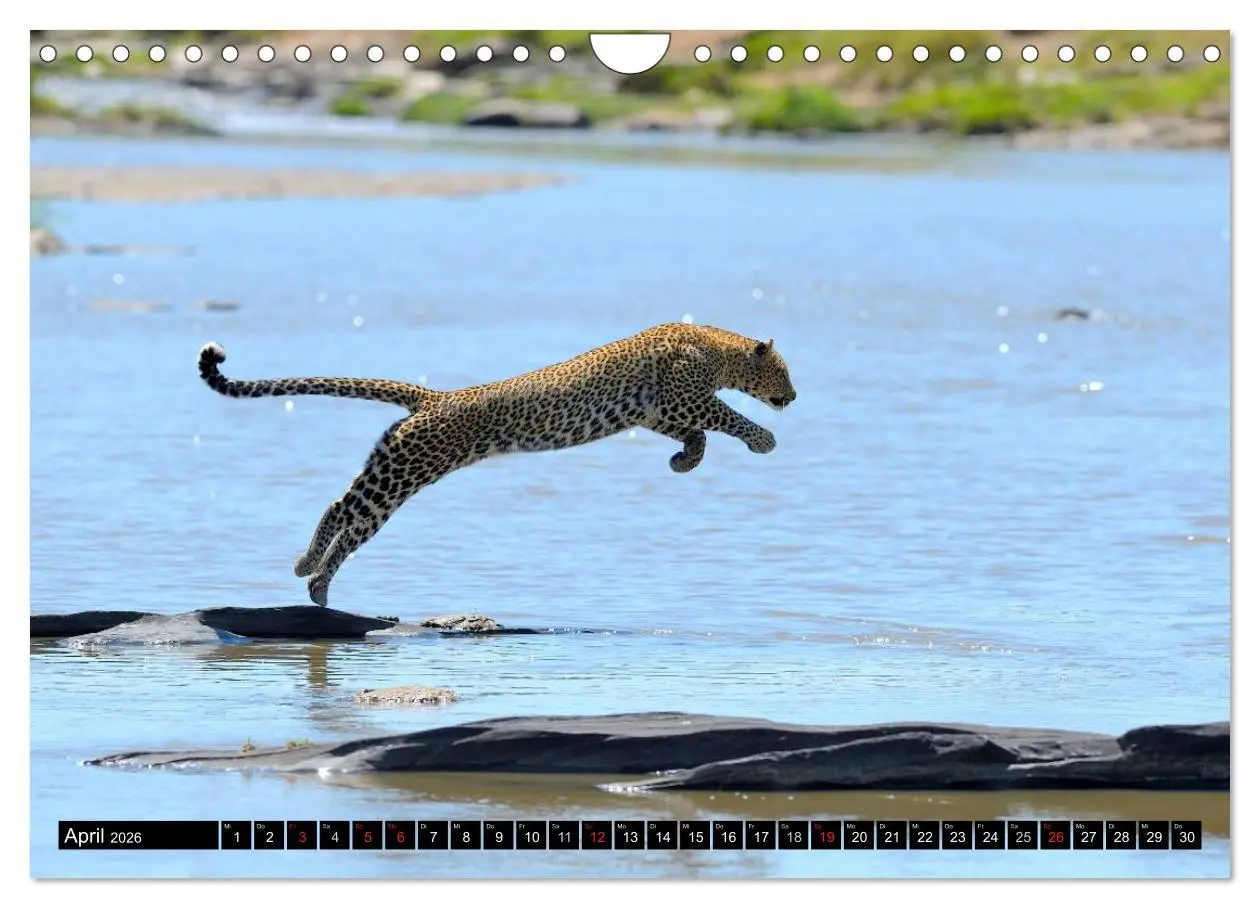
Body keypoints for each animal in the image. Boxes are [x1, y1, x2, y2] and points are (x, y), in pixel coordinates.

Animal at [197, 323, 796, 607]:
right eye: (785, 372)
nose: (793, 397)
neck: (719, 348)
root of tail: (434, 396)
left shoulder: (660, 411)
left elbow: (699, 435)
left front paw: (683, 460)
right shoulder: (683, 399)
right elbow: (728, 417)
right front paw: (764, 440)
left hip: (391, 471)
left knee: (345, 514)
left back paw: (312, 576)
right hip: (404, 472)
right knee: (345, 515)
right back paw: (312, 573)